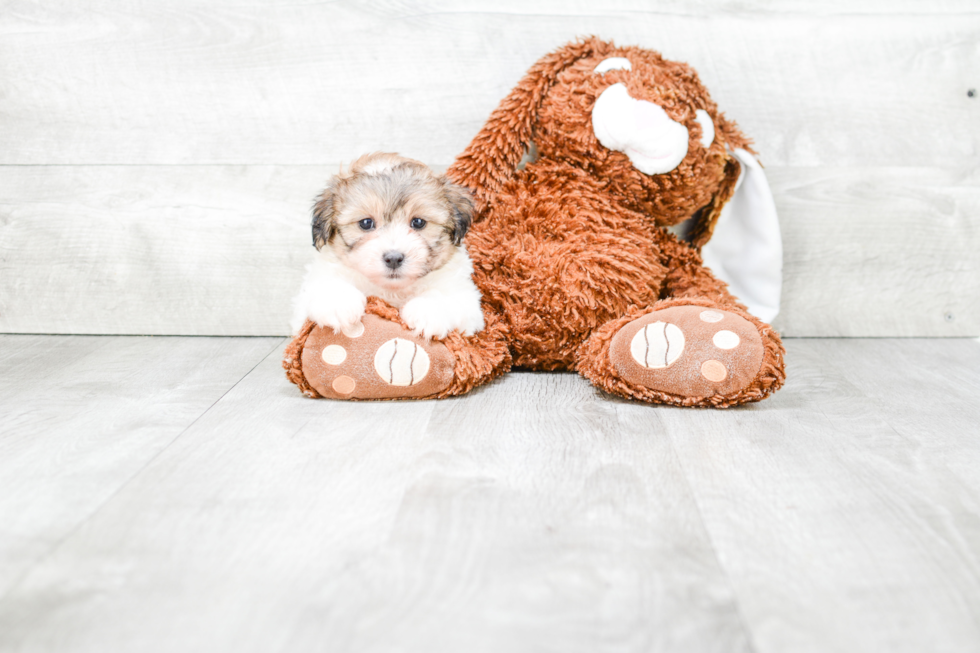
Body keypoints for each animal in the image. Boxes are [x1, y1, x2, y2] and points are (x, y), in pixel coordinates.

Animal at [292, 152, 488, 342]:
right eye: (366, 223)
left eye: (418, 222)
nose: (393, 258)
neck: (390, 291)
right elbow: (324, 283)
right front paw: (339, 303)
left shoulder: (466, 299)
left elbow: (445, 296)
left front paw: (427, 311)